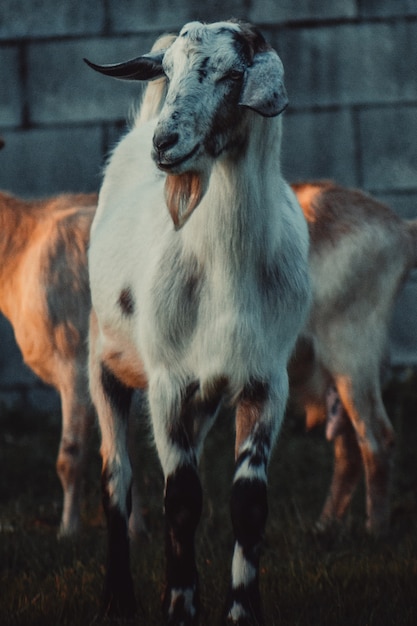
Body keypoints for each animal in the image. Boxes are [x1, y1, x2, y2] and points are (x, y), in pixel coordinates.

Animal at [86, 20, 310, 624]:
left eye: (233, 75)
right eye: (168, 70)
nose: (165, 143)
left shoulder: (266, 381)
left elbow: (248, 504)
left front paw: (241, 610)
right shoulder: (168, 382)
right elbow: (181, 500)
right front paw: (181, 606)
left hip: (206, 398)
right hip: (103, 361)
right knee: (117, 477)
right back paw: (117, 596)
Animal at [288, 179, 416, 532]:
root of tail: (402, 229)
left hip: (351, 357)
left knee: (377, 440)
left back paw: (375, 531)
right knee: (349, 450)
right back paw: (325, 526)